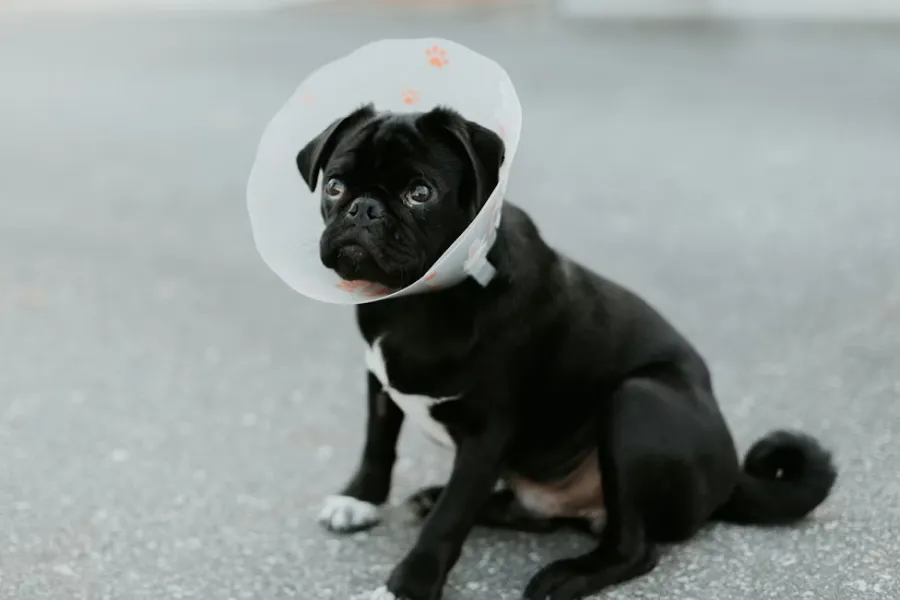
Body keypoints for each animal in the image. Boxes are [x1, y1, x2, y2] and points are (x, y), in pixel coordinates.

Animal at [295, 103, 837, 600]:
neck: (415, 303)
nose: (363, 208)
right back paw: (444, 498)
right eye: (335, 187)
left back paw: (564, 576)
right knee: (538, 515)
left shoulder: (486, 434)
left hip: (638, 402)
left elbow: (448, 521)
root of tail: (730, 479)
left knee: (634, 547)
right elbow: (378, 443)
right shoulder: (379, 379)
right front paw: (360, 499)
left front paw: (406, 588)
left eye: (420, 193)